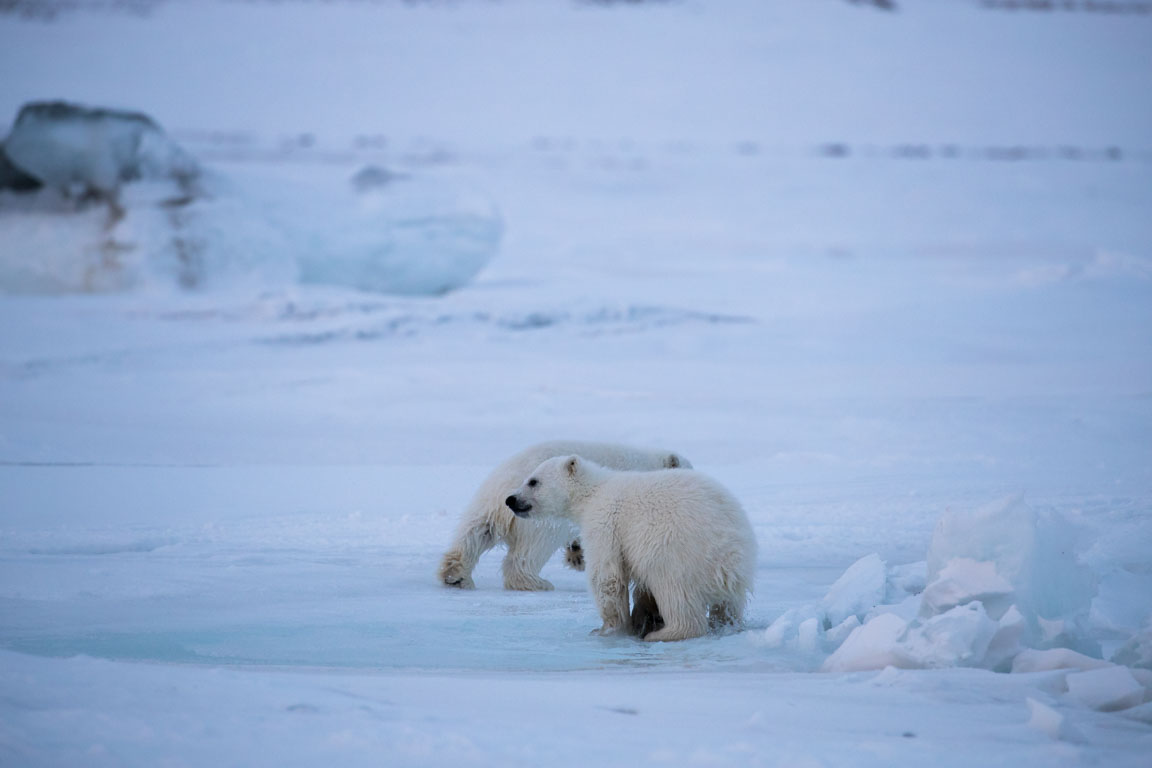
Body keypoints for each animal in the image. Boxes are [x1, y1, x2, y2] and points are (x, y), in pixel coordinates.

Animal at [433, 442, 686, 594]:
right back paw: (537, 583)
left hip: (485, 501)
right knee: (530, 551)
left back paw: (455, 576)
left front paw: (577, 555)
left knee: (475, 532)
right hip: (539, 518)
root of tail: (505, 489)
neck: (649, 464)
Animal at [504, 455, 755, 644]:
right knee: (728, 607)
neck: (592, 492)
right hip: (736, 569)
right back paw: (724, 625)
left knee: (673, 591)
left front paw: (607, 629)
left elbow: (607, 576)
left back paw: (667, 633)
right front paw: (641, 619)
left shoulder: (604, 522)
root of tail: (727, 560)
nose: (510, 499)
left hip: (678, 552)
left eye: (533, 481)